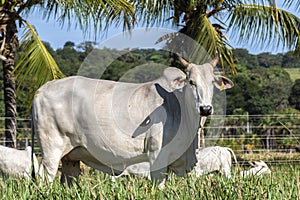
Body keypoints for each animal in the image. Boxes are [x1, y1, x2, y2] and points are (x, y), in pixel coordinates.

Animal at [31, 55, 233, 187]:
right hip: (51, 149)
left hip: (71, 157)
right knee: (45, 177)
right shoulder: (156, 156)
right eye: (191, 82)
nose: (205, 109)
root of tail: (42, 89)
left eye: (212, 83)